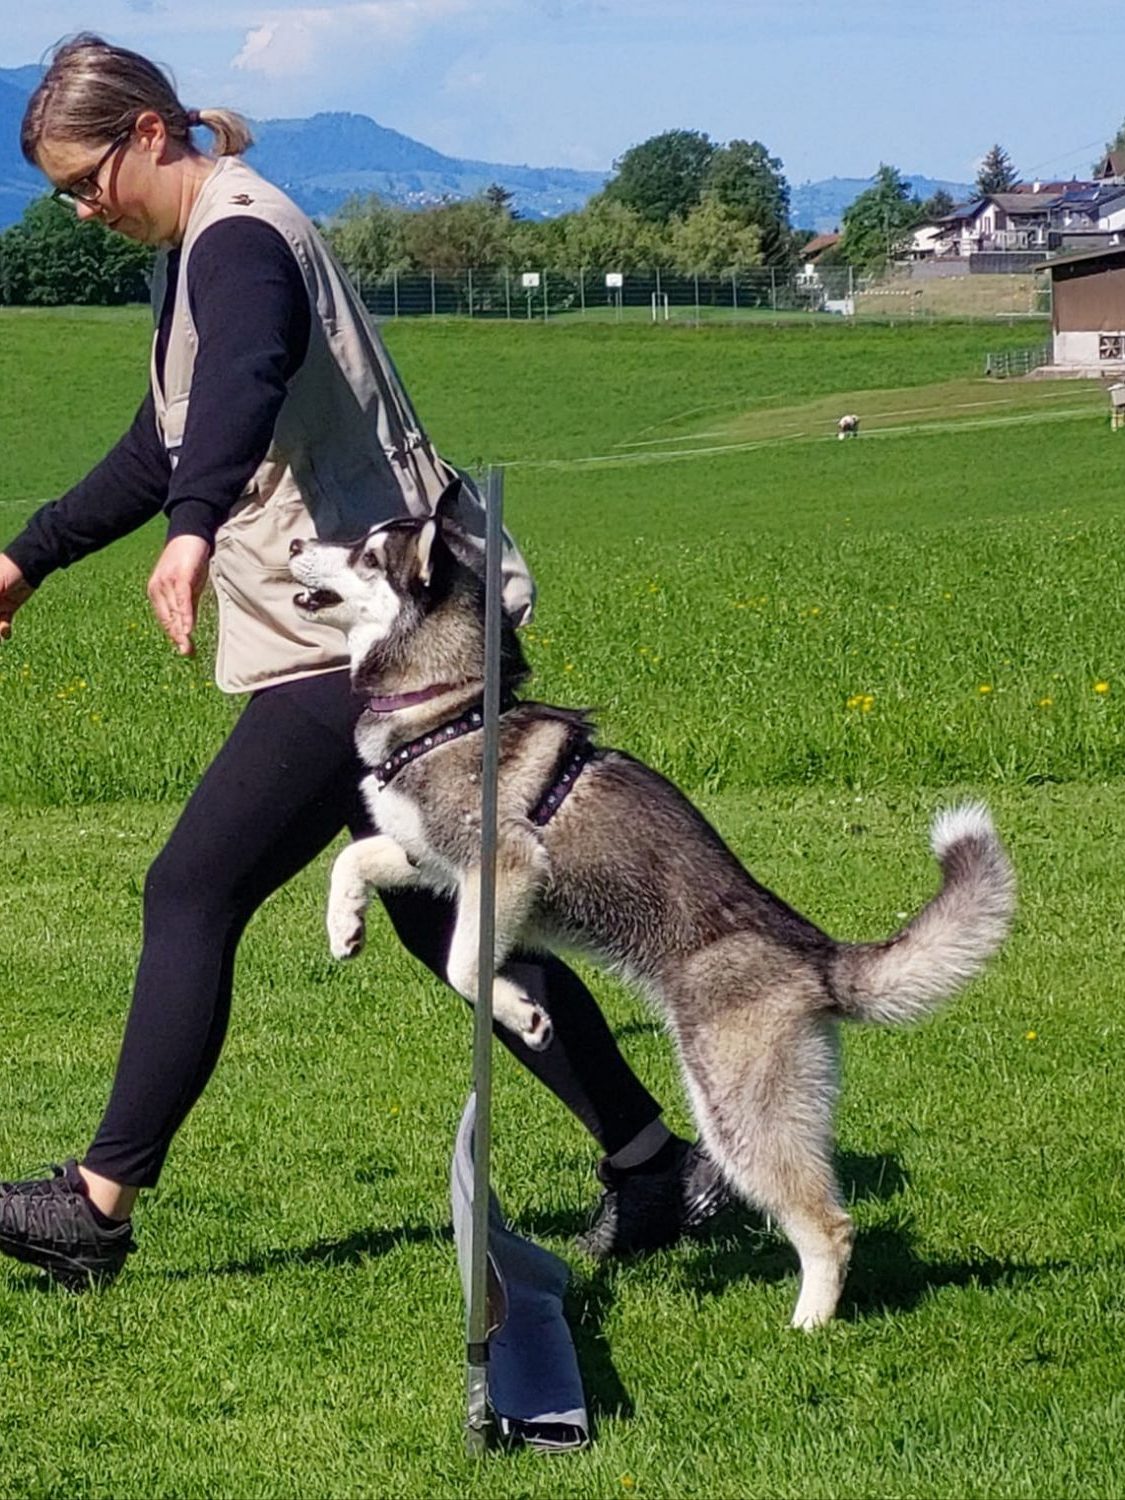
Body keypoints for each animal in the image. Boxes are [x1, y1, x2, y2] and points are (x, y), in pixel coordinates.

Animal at [288, 495, 1015, 1329]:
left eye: (368, 555)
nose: (297, 541)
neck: (446, 706)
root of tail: (816, 954)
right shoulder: (435, 864)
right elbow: (354, 860)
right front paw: (344, 924)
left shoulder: (505, 865)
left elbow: (463, 962)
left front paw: (522, 1011)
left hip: (733, 1103)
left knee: (827, 1222)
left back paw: (806, 1323)